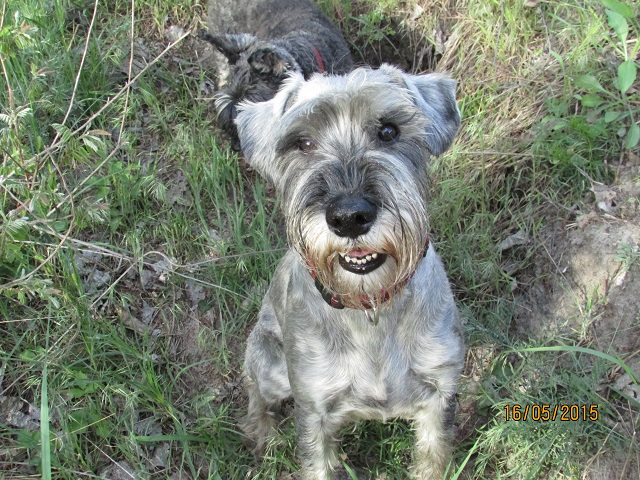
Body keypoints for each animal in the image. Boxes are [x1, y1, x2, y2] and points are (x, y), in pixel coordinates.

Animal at [235, 64, 465, 479]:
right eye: (302, 143)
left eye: (389, 130)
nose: (349, 217)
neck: (370, 308)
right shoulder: (313, 410)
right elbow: (318, 465)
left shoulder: (440, 391)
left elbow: (433, 455)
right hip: (268, 364)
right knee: (256, 395)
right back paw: (263, 439)